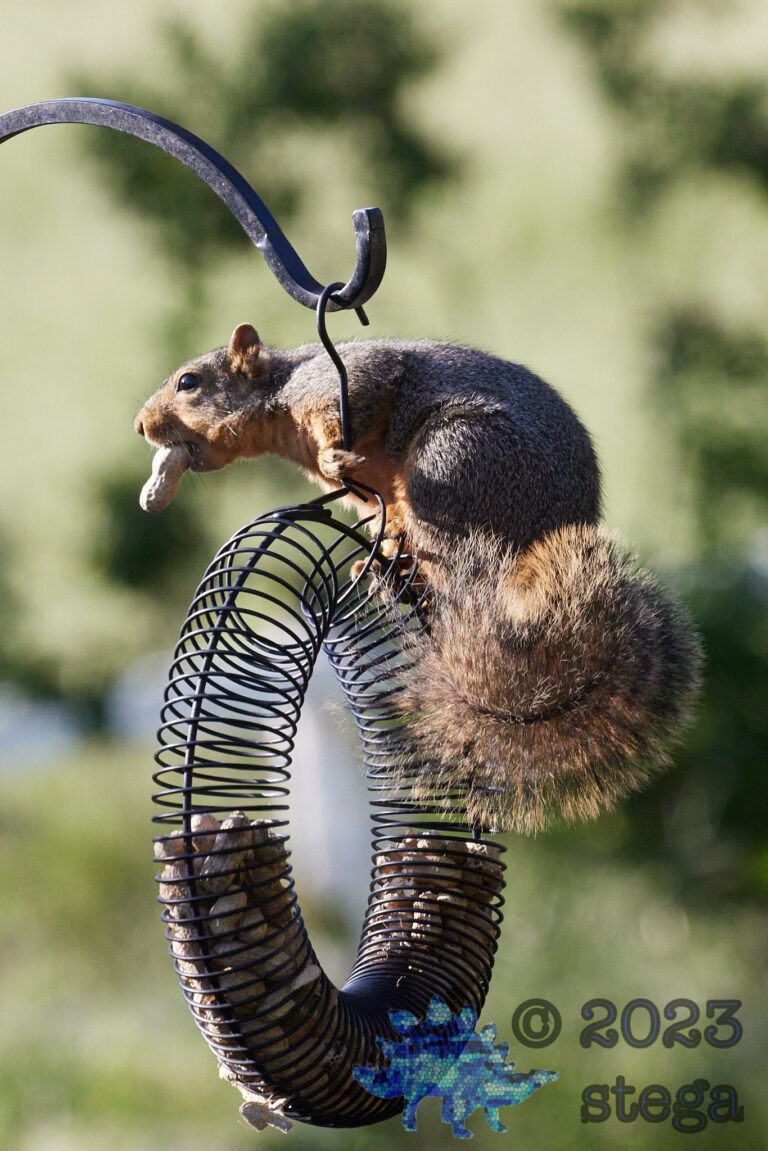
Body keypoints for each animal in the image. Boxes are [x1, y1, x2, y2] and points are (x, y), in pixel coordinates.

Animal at [135, 322, 702, 834]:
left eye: (189, 382)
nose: (141, 425)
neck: (280, 406)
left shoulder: (339, 379)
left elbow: (365, 391)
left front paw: (333, 456)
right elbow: (373, 511)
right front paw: (374, 539)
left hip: (455, 458)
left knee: (454, 566)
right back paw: (386, 566)